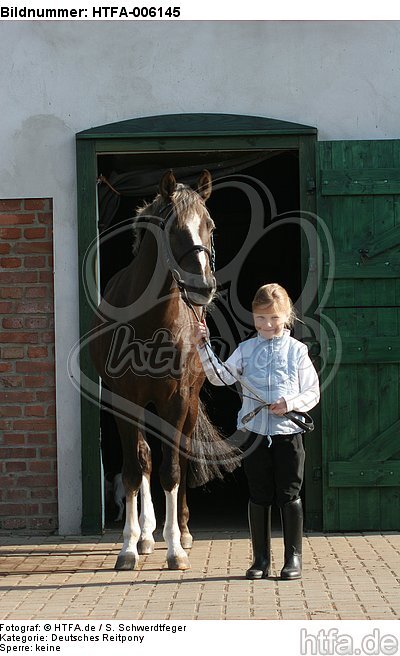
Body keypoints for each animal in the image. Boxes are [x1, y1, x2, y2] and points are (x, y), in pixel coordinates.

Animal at [91, 170, 240, 570]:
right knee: (143, 459)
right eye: (173, 228)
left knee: (181, 457)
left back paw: (183, 533)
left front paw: (174, 548)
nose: (203, 287)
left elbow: (171, 469)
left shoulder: (176, 399)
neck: (149, 322)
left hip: (187, 406)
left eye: (210, 225)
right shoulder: (124, 400)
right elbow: (134, 468)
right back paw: (145, 535)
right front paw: (128, 547)